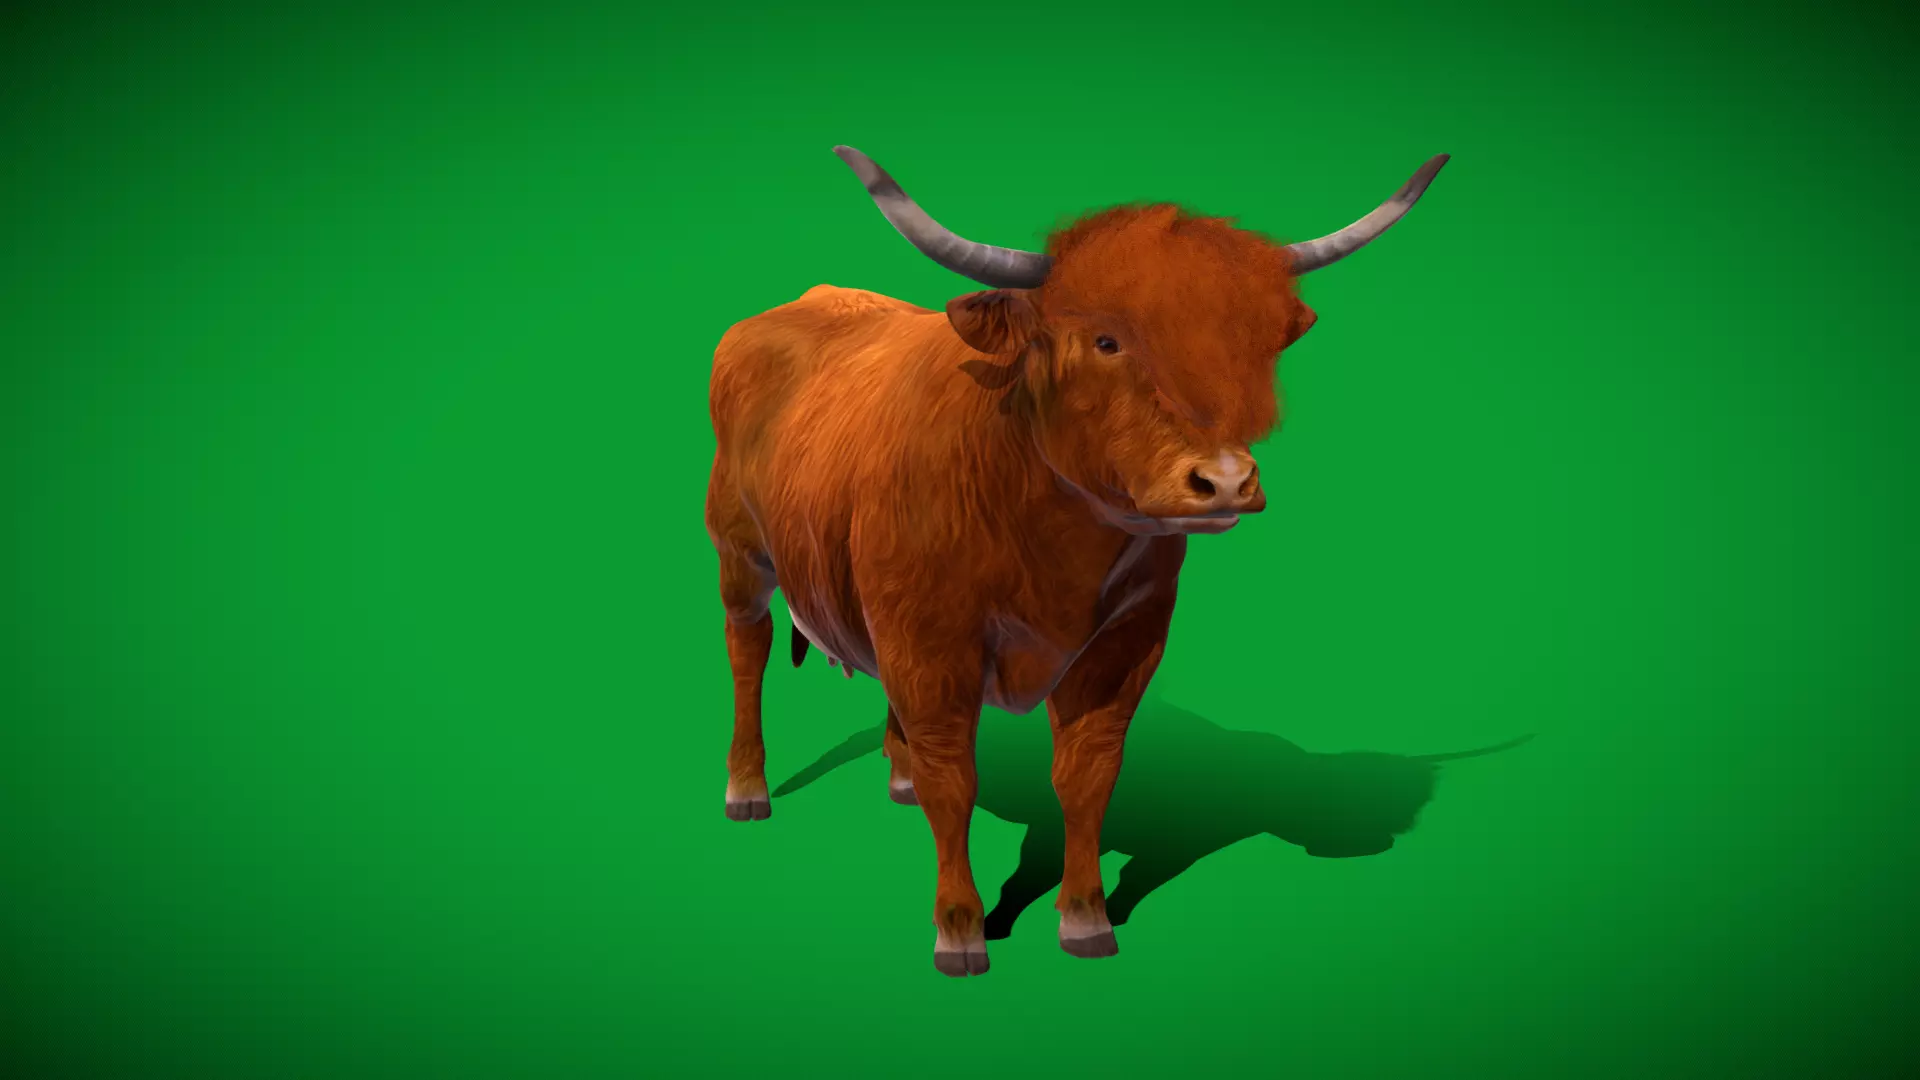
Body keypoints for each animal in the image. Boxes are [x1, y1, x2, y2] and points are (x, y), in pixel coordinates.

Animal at [704, 145, 1449, 977]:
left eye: (1260, 346)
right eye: (1105, 340)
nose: (1225, 481)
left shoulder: (1127, 641)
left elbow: (1086, 775)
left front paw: (1087, 917)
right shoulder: (930, 639)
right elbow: (954, 777)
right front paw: (959, 928)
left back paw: (896, 776)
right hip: (739, 554)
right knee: (748, 652)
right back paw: (748, 788)